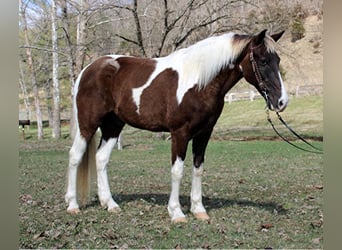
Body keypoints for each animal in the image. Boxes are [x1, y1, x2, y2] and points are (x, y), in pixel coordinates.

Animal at [65, 29, 288, 223]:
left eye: (277, 60)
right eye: (263, 61)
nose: (282, 102)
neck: (200, 82)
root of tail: (89, 69)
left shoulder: (203, 134)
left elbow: (198, 169)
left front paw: (199, 210)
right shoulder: (180, 133)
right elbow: (177, 171)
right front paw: (176, 213)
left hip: (113, 126)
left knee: (101, 158)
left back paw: (109, 204)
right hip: (88, 124)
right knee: (75, 156)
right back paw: (72, 205)